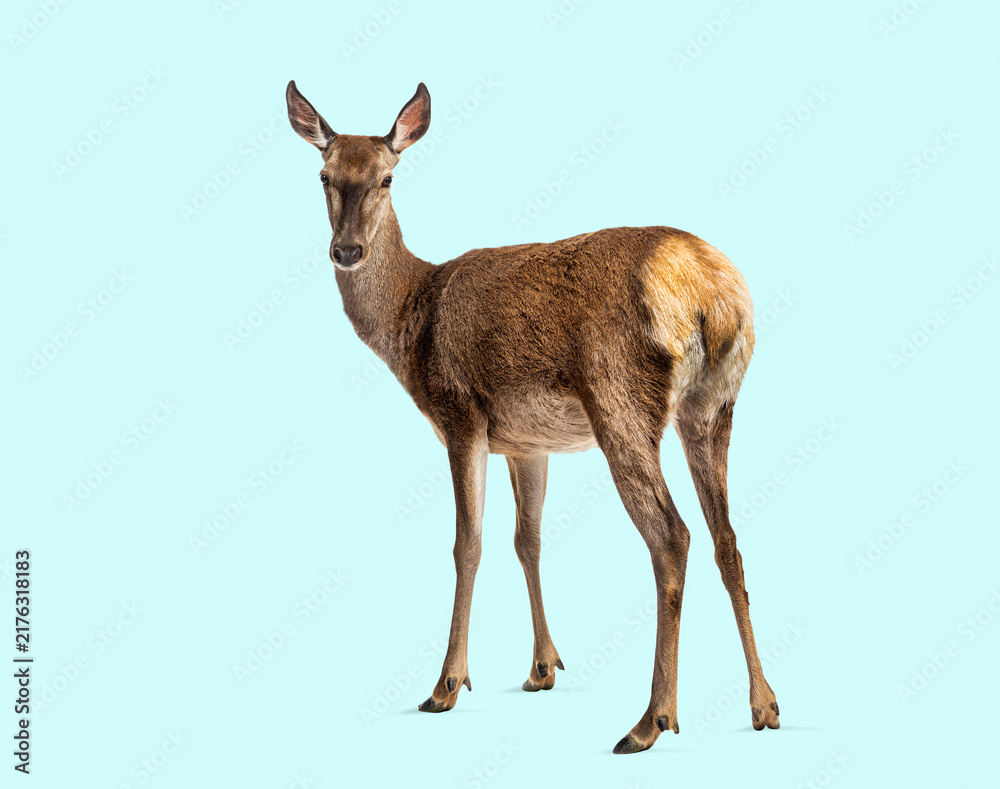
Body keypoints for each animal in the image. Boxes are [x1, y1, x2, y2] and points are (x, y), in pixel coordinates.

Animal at [284, 80, 780, 754]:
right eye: (323, 174)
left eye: (387, 177)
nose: (347, 251)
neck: (412, 320)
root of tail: (711, 294)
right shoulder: (525, 442)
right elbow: (528, 540)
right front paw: (543, 667)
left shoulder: (461, 414)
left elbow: (468, 543)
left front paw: (445, 685)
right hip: (713, 406)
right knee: (727, 538)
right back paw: (764, 704)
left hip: (621, 401)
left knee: (673, 536)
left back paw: (651, 720)